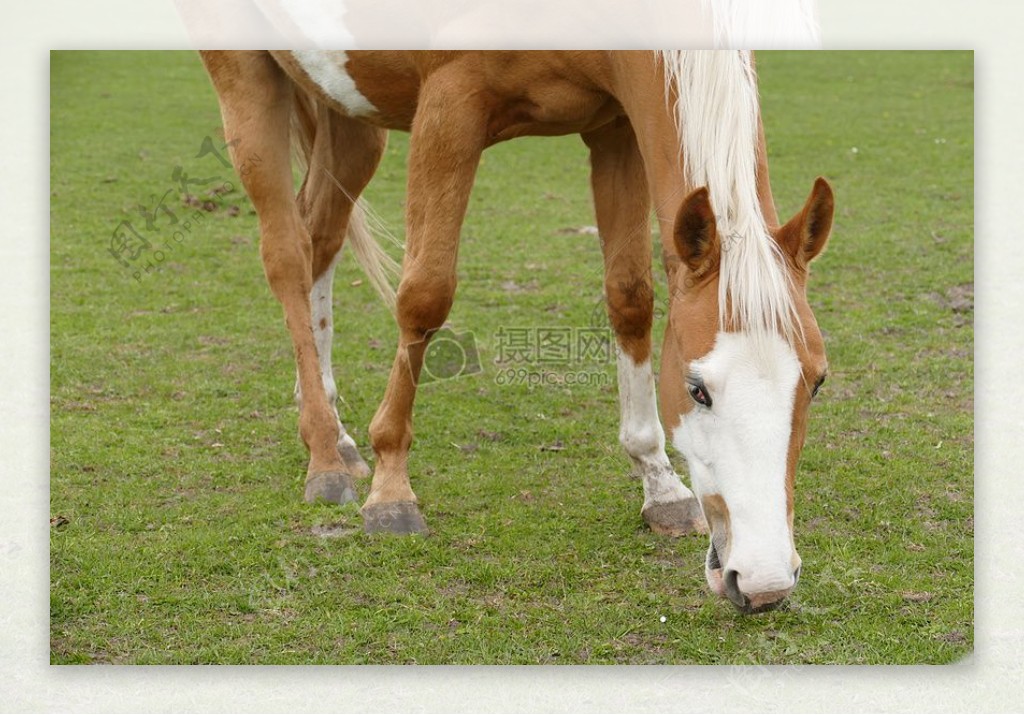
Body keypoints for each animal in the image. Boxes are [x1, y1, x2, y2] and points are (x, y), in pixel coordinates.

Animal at [197, 50, 831, 610]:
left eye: (818, 382)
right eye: (697, 388)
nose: (765, 583)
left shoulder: (618, 127)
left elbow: (629, 298)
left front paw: (660, 484)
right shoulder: (448, 106)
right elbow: (424, 296)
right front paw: (391, 488)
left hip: (348, 115)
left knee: (322, 234)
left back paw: (332, 427)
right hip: (248, 85)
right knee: (288, 254)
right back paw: (326, 457)